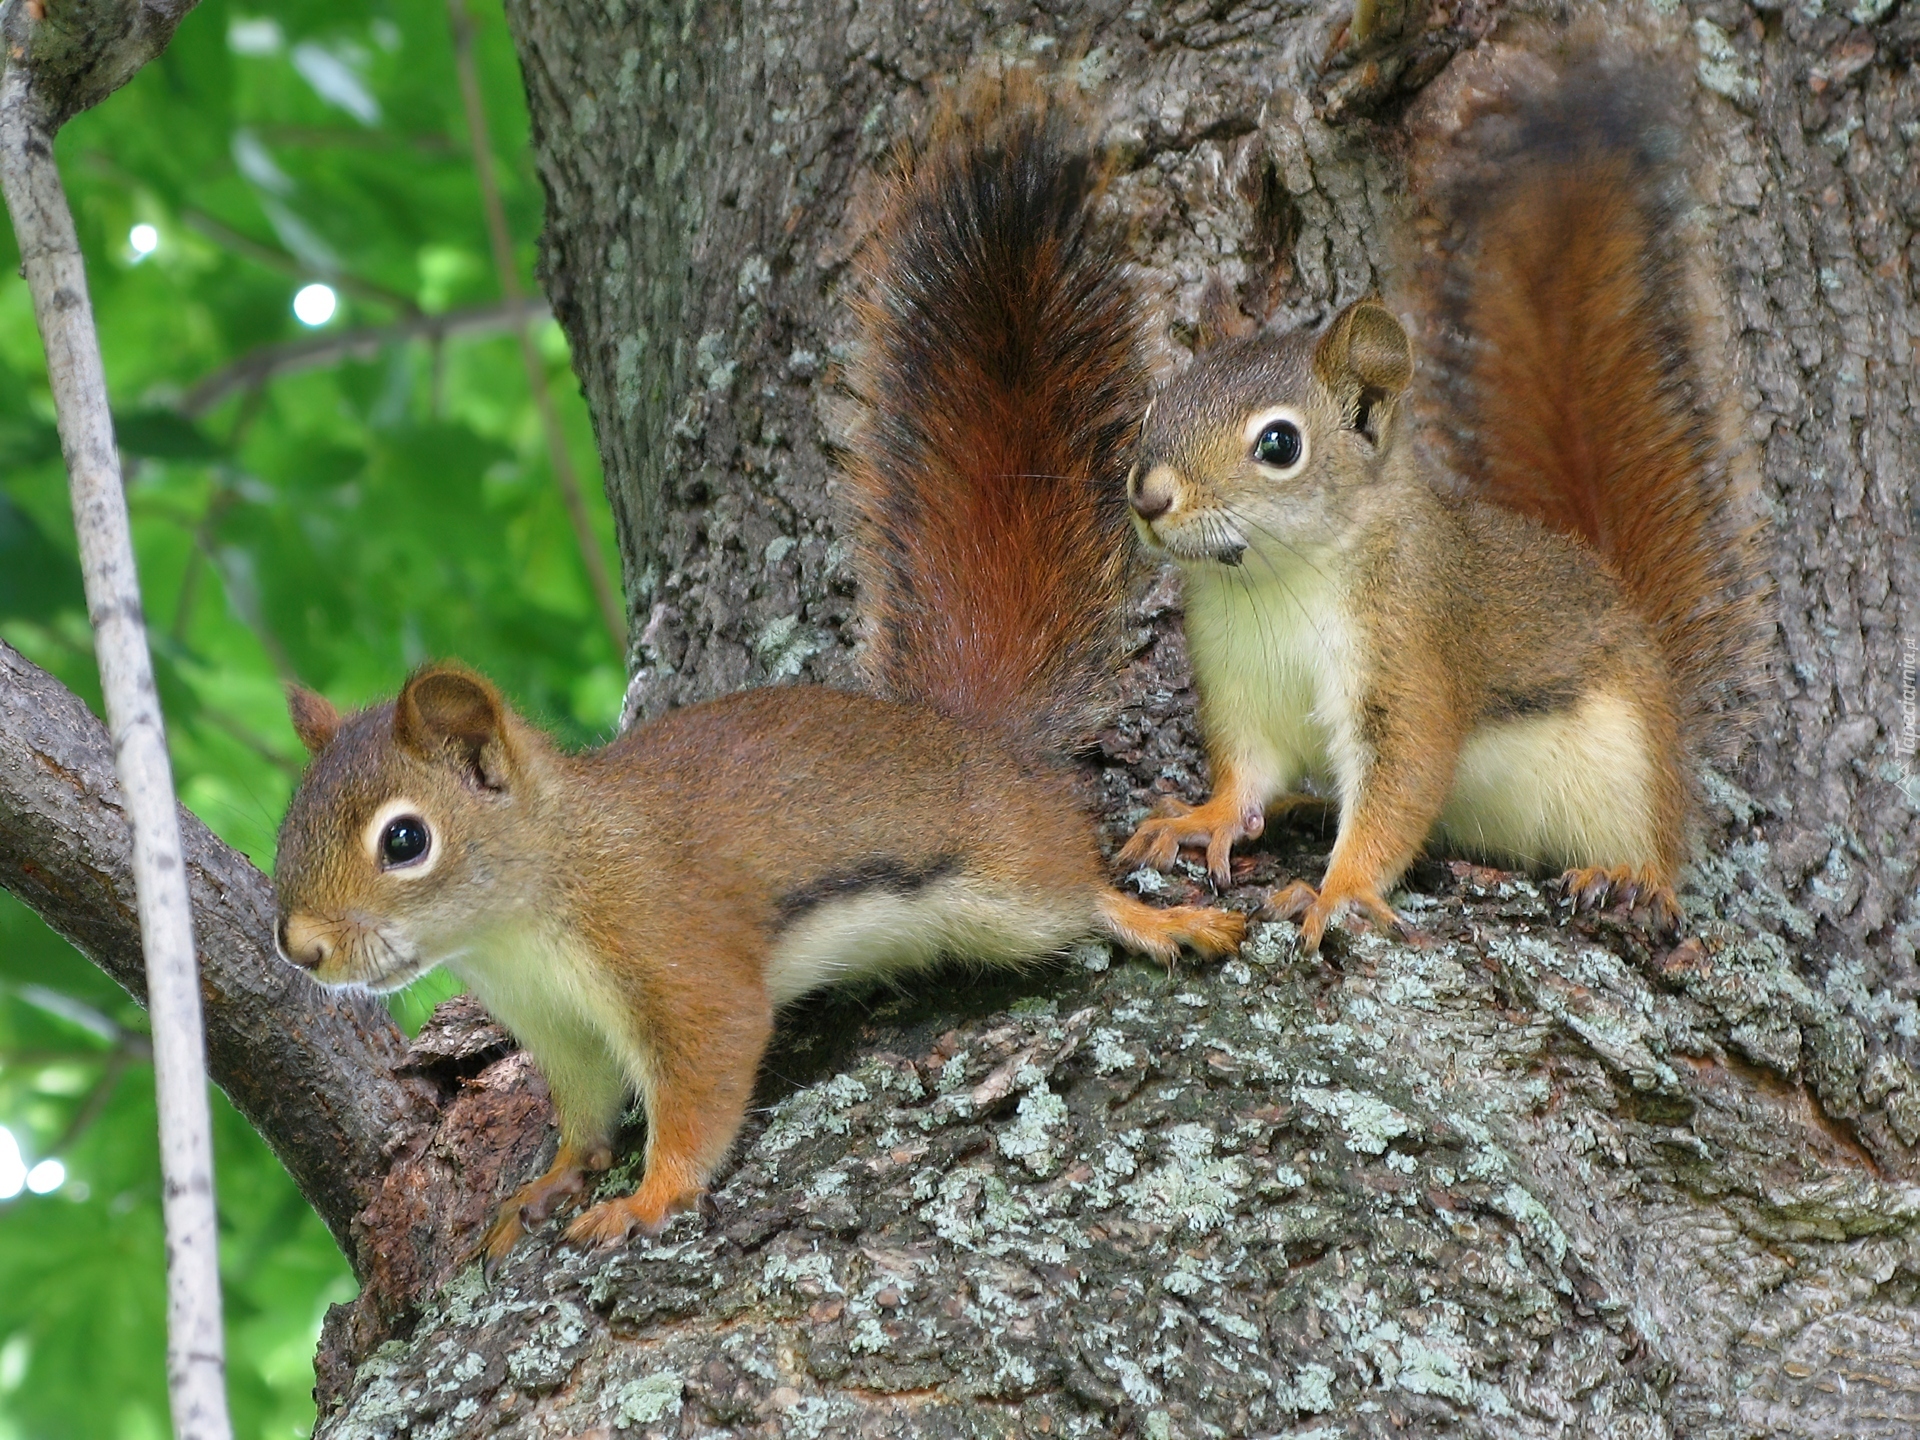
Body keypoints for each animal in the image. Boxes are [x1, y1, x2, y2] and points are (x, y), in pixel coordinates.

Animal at [266, 84, 1244, 1267]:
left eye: (404, 841)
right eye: (290, 821)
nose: (301, 948)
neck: (528, 910)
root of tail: (978, 738)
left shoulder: (675, 958)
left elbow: (701, 1083)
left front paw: (647, 1196)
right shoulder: (564, 1034)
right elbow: (584, 1114)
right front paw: (547, 1182)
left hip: (1008, 883)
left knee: (1075, 892)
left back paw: (1156, 920)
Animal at [1121, 59, 1766, 960]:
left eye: (1279, 444)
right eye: (1154, 409)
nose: (1149, 496)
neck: (1277, 584)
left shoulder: (1411, 654)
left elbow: (1403, 783)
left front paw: (1339, 891)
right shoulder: (1242, 681)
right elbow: (1245, 772)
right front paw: (1206, 817)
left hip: (1632, 763)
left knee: (1660, 848)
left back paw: (1629, 877)